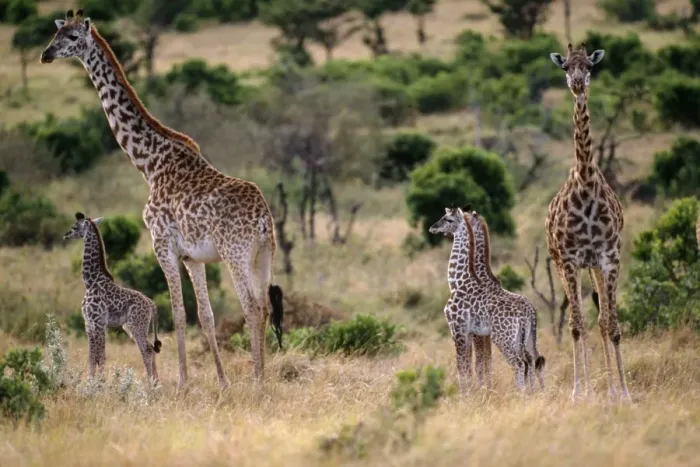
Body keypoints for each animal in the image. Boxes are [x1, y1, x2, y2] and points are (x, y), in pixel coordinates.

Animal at [64, 212, 161, 382]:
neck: (90, 282)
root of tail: (151, 303)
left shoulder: (99, 323)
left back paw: (150, 384)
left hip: (136, 325)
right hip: (133, 327)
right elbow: (91, 357)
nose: (66, 235)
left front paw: (100, 383)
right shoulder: (88, 324)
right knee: (150, 348)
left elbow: (101, 357)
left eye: (75, 227)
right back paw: (156, 383)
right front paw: (91, 382)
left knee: (147, 350)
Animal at [430, 207, 543, 392]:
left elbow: (465, 366)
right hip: (525, 337)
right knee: (534, 360)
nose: (433, 228)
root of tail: (530, 312)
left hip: (502, 338)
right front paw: (477, 392)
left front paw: (467, 394)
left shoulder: (459, 330)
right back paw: (535, 393)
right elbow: (474, 365)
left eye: (448, 219)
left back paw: (521, 394)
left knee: (520, 363)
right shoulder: (472, 332)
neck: (460, 279)